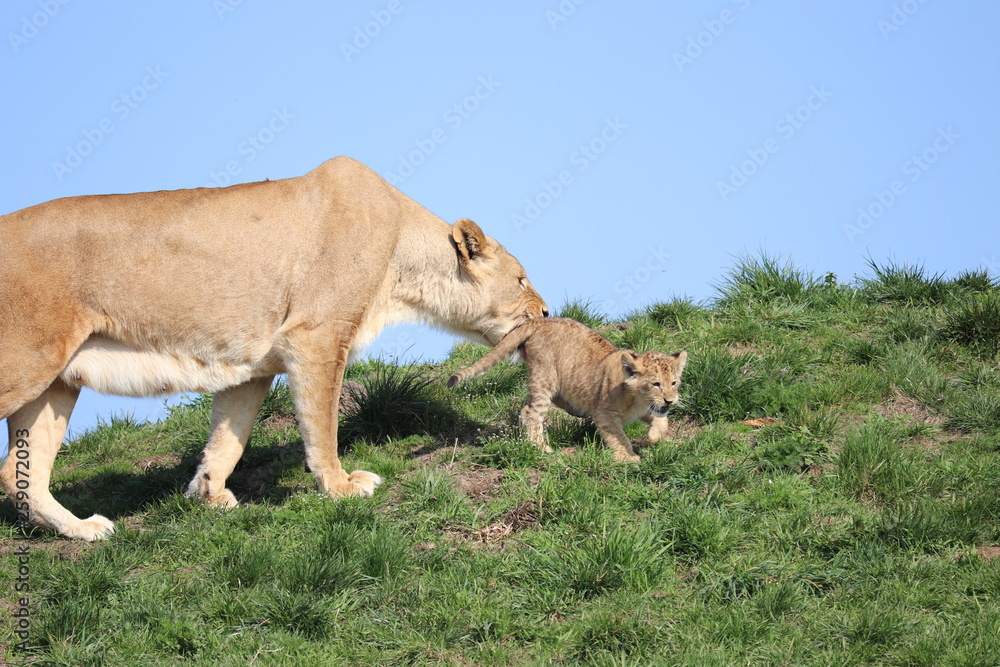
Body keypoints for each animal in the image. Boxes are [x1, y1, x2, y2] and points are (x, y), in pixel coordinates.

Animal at [0, 156, 548, 541]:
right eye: (522, 279)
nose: (545, 313)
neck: (403, 260)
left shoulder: (251, 365)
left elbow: (229, 438)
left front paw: (208, 494)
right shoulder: (316, 336)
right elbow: (322, 423)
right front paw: (340, 487)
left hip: (54, 385)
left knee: (20, 474)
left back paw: (84, 530)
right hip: (25, 363)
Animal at [448, 317, 686, 462]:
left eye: (673, 383)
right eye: (656, 384)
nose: (670, 400)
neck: (639, 399)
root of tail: (540, 320)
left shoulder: (648, 410)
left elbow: (662, 423)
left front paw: (649, 440)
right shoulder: (605, 413)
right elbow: (618, 437)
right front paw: (628, 458)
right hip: (544, 377)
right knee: (530, 413)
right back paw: (541, 449)